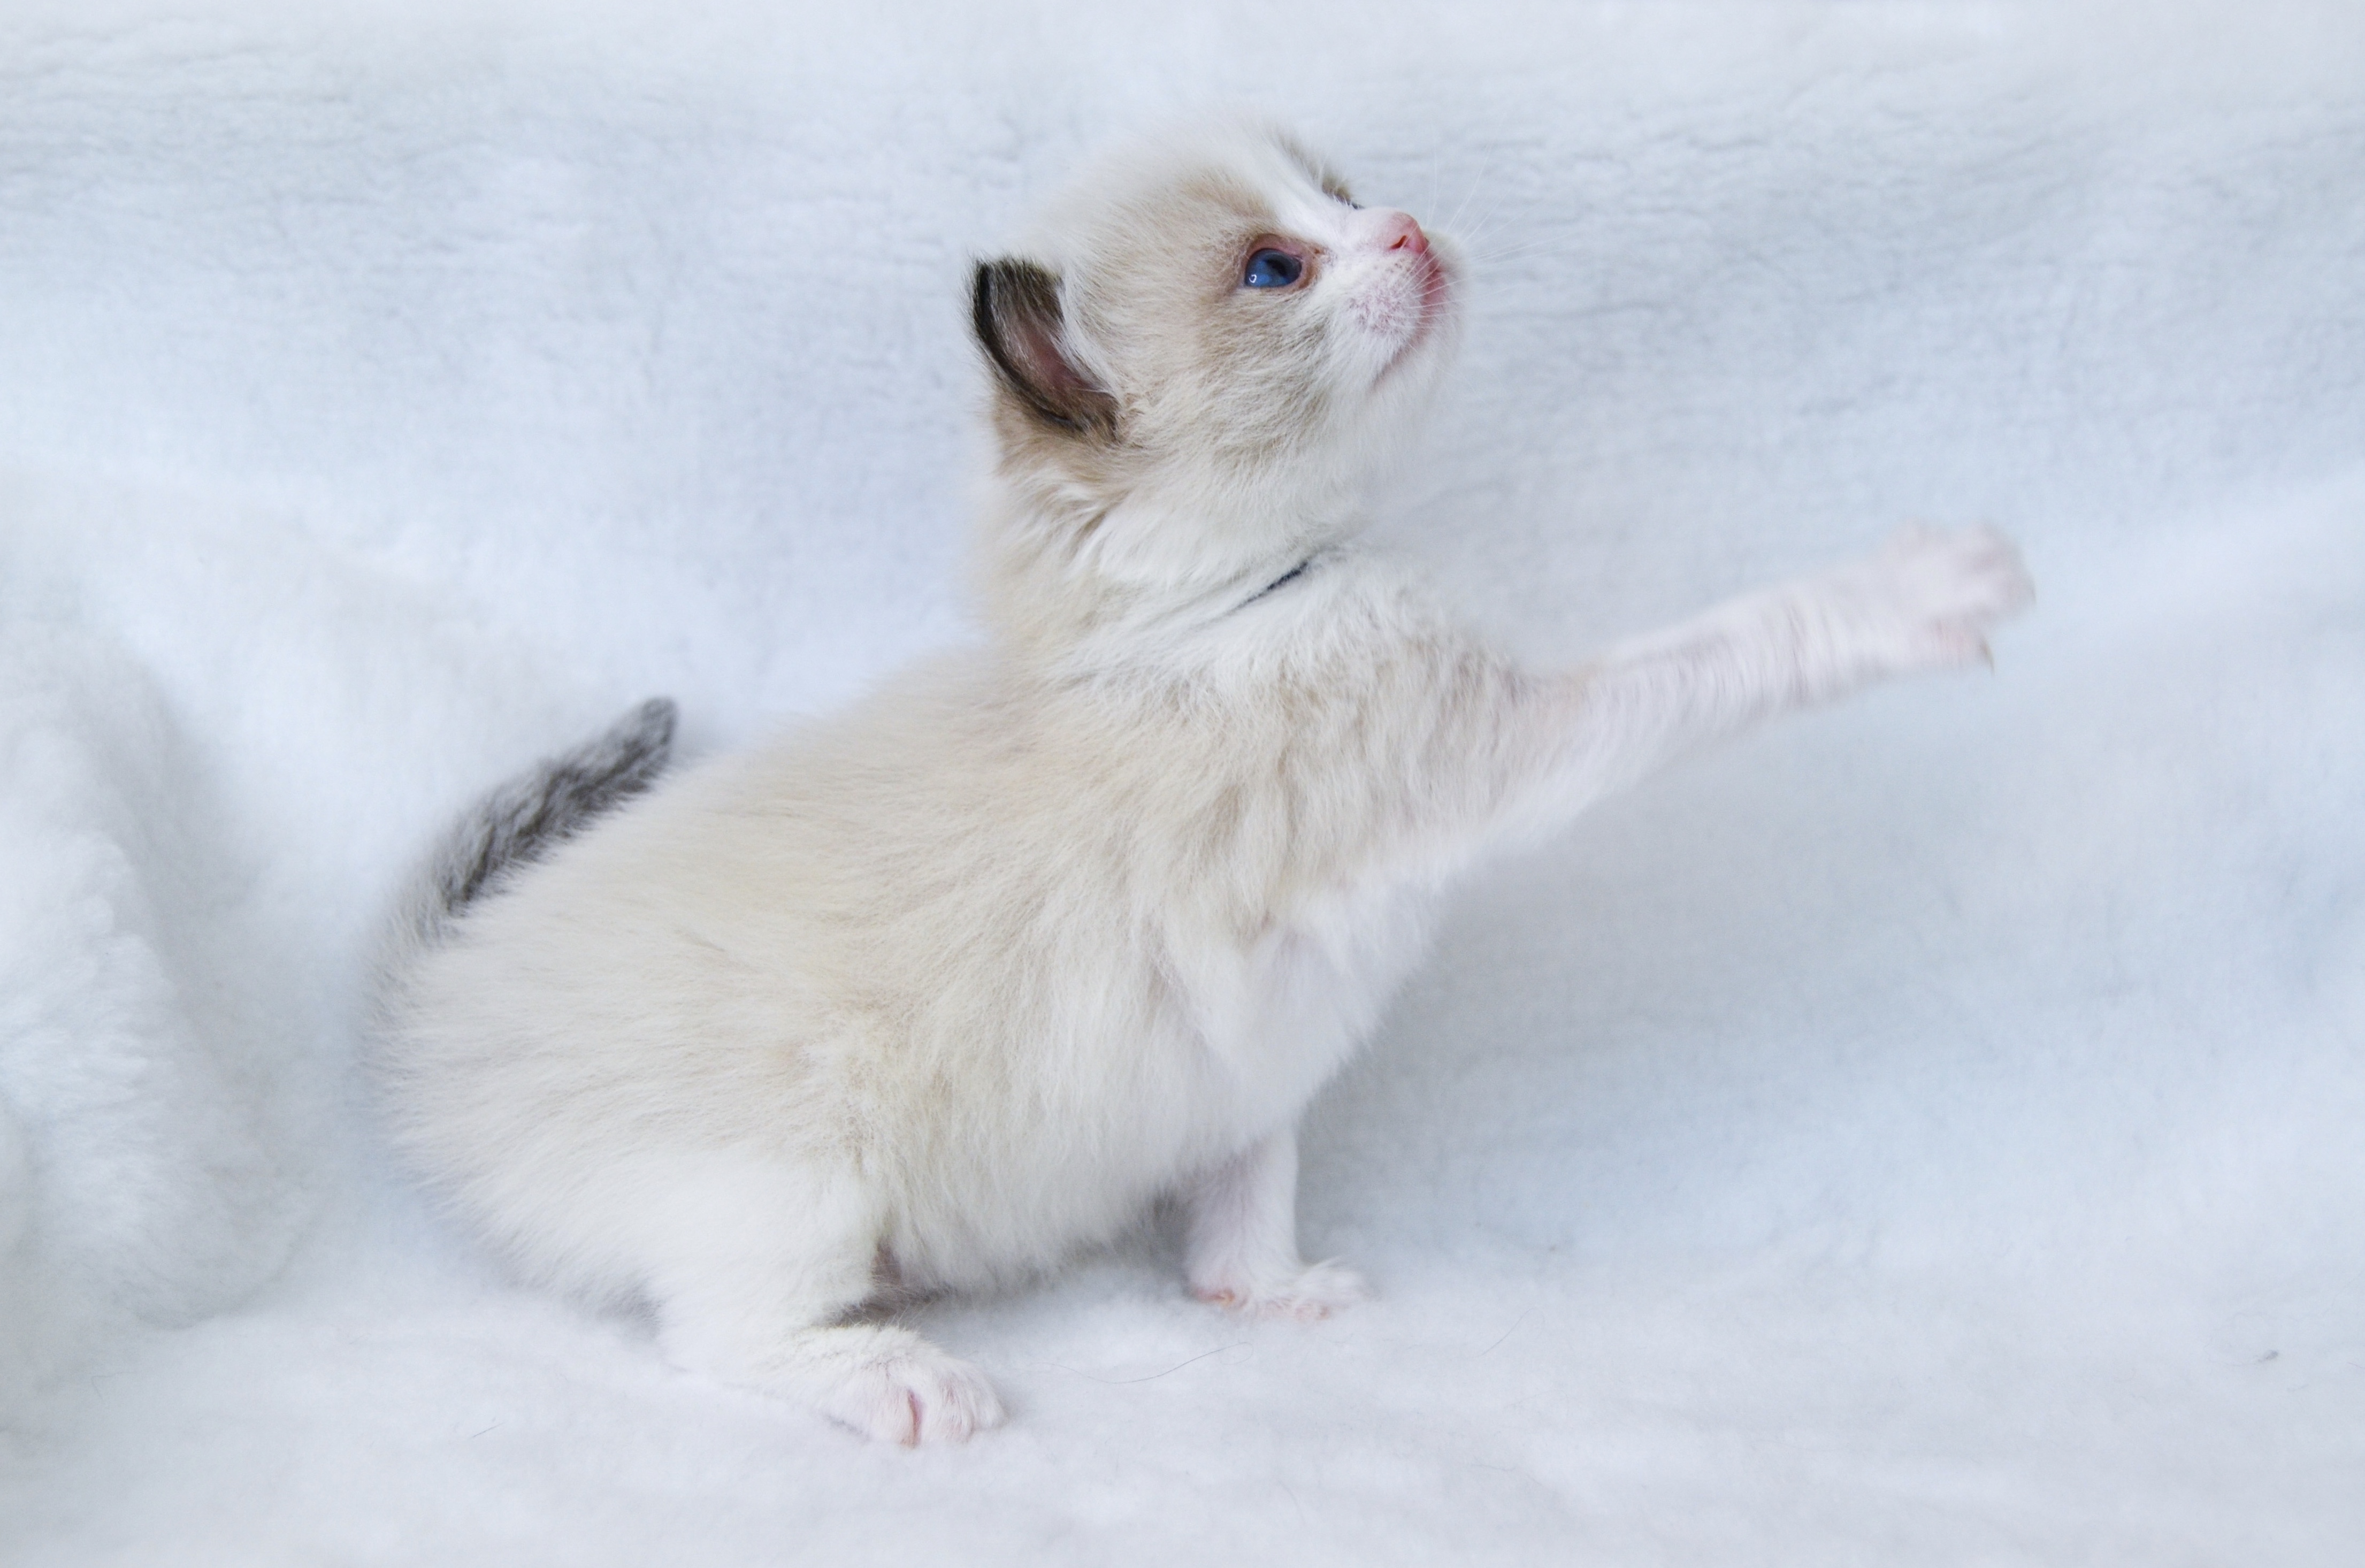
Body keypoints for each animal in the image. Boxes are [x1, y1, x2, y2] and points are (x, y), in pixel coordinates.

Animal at [373, 123, 2034, 1447]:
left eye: (1342, 197)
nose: (1408, 227)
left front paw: (1266, 1291)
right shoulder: (1512, 746)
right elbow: (1729, 646)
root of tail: (435, 1002)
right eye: (1272, 271)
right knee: (715, 1337)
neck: (1235, 604)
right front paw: (1921, 591)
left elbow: (1247, 1188)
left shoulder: (1249, 1047)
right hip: (784, 1185)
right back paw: (891, 1375)